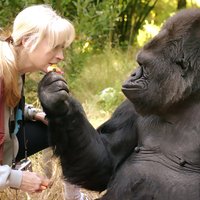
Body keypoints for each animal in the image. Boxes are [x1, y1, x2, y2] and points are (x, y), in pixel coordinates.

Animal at [38, 8, 200, 200]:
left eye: (144, 66)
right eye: (139, 63)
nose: (132, 74)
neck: (184, 102)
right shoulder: (130, 107)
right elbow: (104, 163)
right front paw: (58, 104)